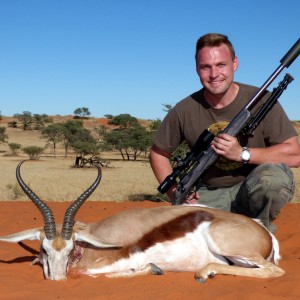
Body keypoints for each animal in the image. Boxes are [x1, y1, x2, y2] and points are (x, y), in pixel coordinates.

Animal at [0, 161, 284, 280]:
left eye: (70, 249)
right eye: (43, 249)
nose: (58, 280)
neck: (90, 247)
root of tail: (265, 234)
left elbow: (100, 275)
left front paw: (152, 269)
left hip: (227, 246)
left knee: (274, 271)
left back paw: (205, 272)